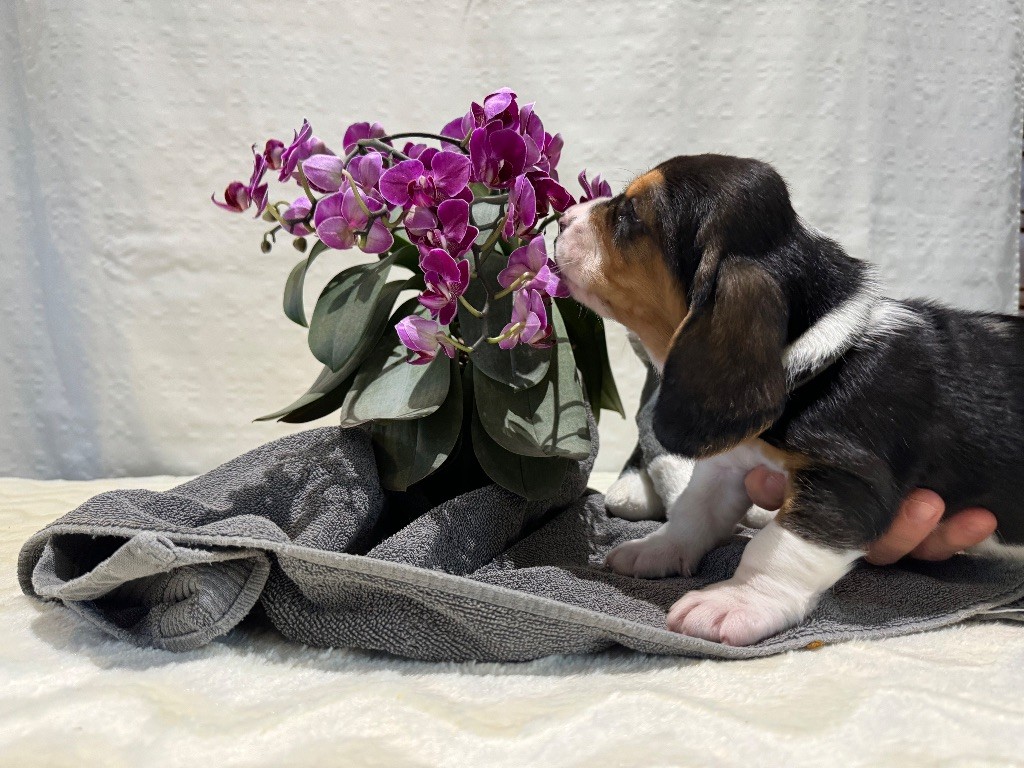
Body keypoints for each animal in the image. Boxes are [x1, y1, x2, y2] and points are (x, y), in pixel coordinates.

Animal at [554, 154, 1024, 646]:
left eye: (630, 216)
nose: (562, 219)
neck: (819, 353)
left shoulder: (847, 483)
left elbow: (779, 549)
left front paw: (736, 601)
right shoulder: (730, 462)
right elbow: (693, 511)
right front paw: (657, 548)